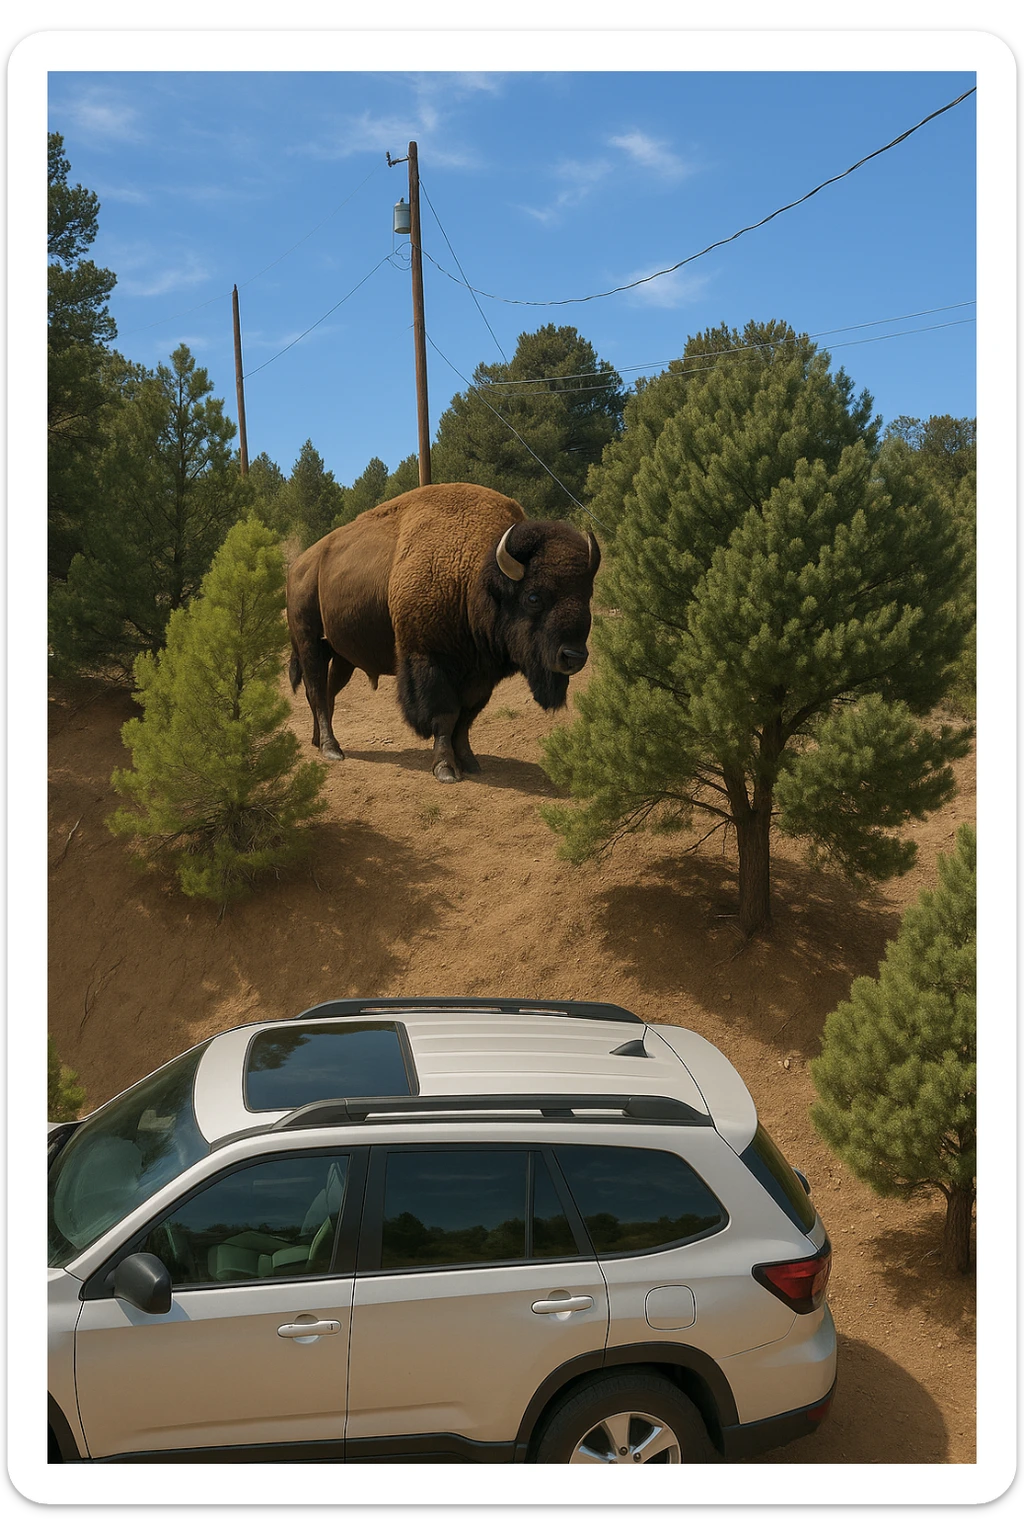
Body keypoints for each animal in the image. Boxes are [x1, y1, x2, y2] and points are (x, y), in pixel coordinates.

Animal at [286, 482, 600, 783]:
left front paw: (470, 763)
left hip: (343, 657)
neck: (475, 576)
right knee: (316, 690)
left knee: (328, 692)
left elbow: (466, 718)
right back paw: (331, 748)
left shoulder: (480, 675)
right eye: (533, 597)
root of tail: (300, 565)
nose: (573, 656)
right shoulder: (430, 660)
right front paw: (446, 769)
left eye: (586, 594)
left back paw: (318, 741)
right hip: (310, 644)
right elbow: (446, 716)